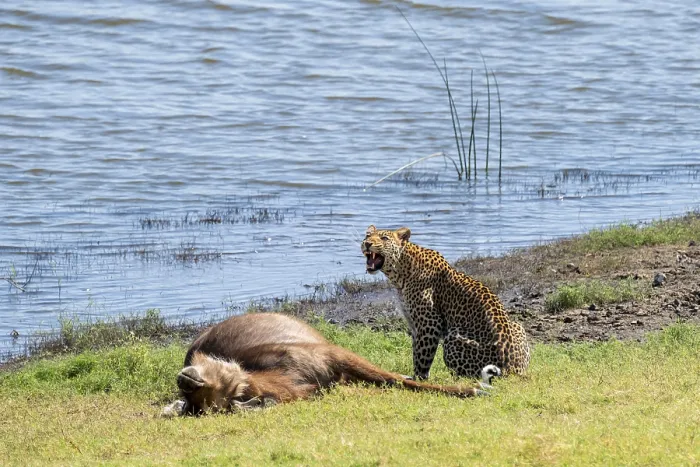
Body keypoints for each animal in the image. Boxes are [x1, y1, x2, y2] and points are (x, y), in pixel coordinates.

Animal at [362, 225, 530, 380]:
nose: (367, 243)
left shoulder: (430, 323)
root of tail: (513, 370)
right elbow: (416, 351)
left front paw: (419, 379)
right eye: (368, 235)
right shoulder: (414, 324)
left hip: (453, 336)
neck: (400, 273)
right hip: (517, 325)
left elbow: (422, 356)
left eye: (384, 238)